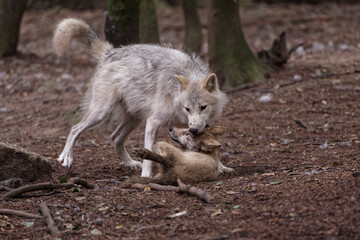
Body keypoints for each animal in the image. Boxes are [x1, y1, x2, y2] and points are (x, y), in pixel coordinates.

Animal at [52, 17, 228, 177]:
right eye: (187, 109)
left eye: (203, 107)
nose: (193, 129)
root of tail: (111, 52)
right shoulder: (152, 122)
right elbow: (149, 153)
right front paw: (146, 175)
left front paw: (221, 166)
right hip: (102, 113)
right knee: (75, 128)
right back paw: (66, 157)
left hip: (134, 119)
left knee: (115, 138)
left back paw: (130, 163)